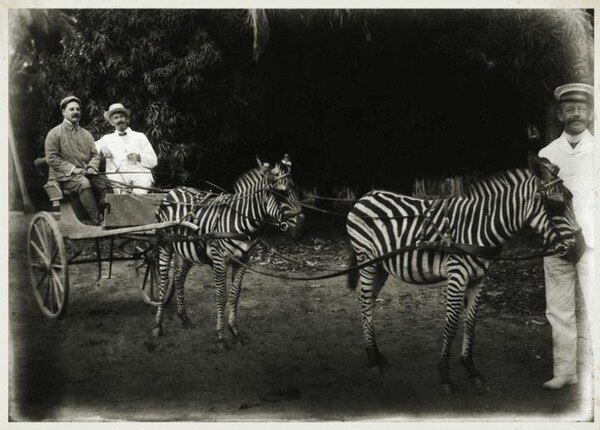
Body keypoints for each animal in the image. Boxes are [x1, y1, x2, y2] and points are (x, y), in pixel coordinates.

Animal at [152, 155, 304, 342]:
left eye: (297, 191)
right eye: (280, 194)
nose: (301, 229)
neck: (242, 221)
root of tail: (173, 190)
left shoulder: (243, 260)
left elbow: (235, 295)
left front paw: (234, 330)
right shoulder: (220, 259)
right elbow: (222, 296)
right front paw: (221, 336)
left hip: (186, 249)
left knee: (179, 278)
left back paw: (184, 317)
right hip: (164, 245)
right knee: (163, 283)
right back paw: (158, 325)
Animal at [344, 155, 584, 394]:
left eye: (572, 199)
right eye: (556, 204)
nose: (581, 250)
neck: (481, 227)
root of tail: (366, 196)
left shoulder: (479, 278)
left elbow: (471, 322)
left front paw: (470, 368)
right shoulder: (457, 275)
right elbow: (451, 324)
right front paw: (444, 373)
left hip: (380, 265)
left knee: (369, 302)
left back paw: (377, 355)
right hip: (366, 259)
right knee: (364, 302)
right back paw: (373, 359)